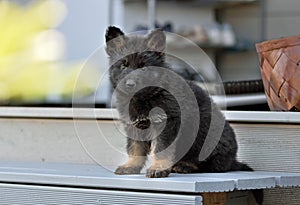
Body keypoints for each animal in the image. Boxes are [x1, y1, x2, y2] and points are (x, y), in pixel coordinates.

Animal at [105, 26, 262, 203]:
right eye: (123, 65)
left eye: (144, 67)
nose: (130, 84)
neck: (146, 97)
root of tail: (233, 161)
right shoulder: (135, 125)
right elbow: (135, 148)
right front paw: (131, 166)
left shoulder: (168, 123)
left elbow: (161, 149)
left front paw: (158, 168)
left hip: (205, 137)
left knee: (207, 165)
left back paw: (184, 165)